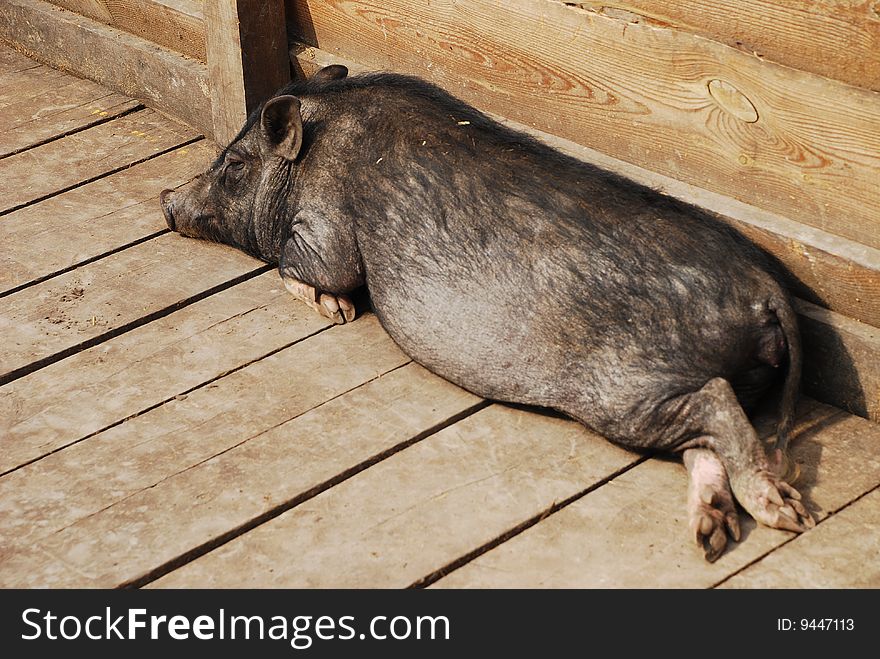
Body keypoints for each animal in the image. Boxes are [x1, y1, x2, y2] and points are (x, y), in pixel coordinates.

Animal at [162, 65, 816, 564]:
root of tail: (763, 287)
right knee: (705, 433)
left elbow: (308, 270)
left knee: (715, 405)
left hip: (625, 392)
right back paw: (712, 538)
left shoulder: (325, 231)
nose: (167, 200)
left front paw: (337, 309)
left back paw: (787, 517)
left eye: (234, 166)